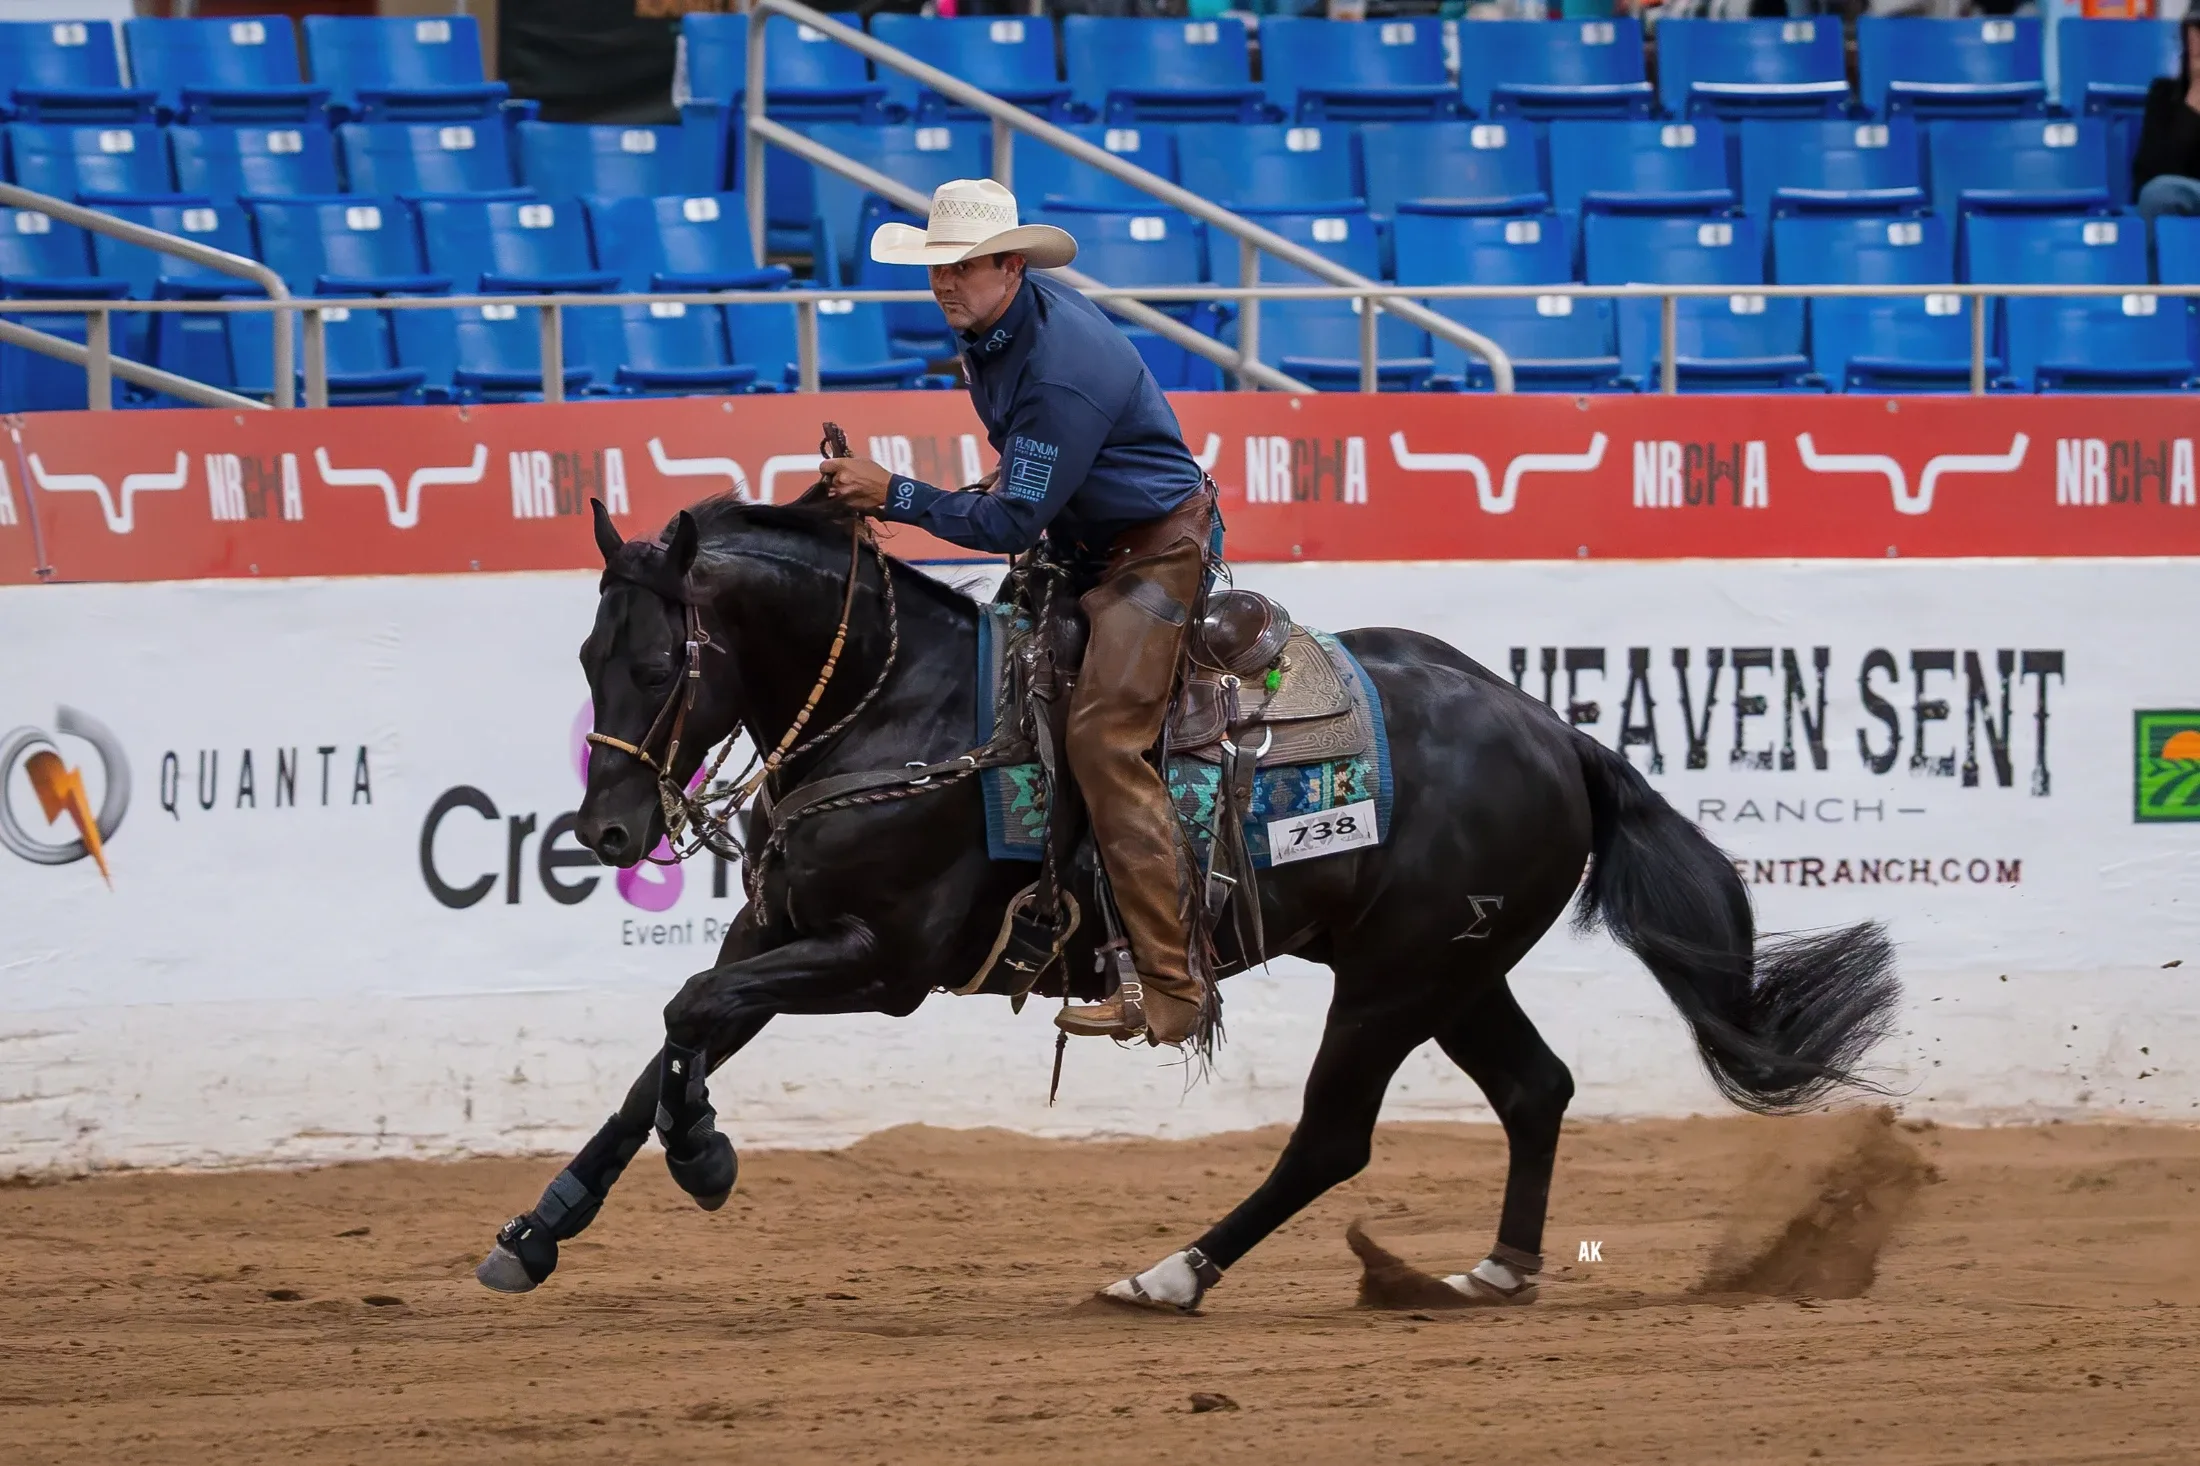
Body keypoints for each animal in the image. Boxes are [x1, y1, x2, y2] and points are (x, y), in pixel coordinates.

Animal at [473, 489, 1900, 1312]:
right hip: (1451, 966)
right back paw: (1494, 1268)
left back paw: (1173, 1269)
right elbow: (676, 1032)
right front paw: (540, 1227)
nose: (609, 830)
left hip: (1391, 981)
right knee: (1534, 1087)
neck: (904, 708)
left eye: (659, 657)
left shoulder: (879, 960)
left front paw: (705, 1156)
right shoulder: (777, 925)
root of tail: (1556, 731)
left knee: (1332, 1138)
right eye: (588, 653)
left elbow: (687, 1007)